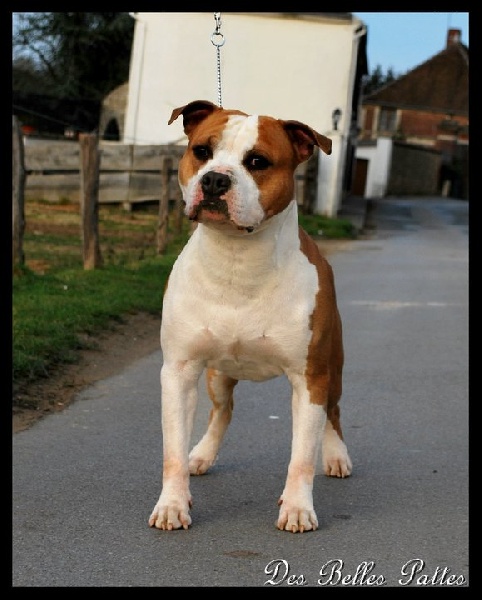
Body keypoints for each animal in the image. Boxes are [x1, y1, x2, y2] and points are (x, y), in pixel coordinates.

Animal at [149, 100, 352, 533]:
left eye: (257, 161)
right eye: (202, 151)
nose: (214, 181)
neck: (238, 260)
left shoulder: (310, 378)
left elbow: (301, 457)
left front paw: (297, 508)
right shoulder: (179, 371)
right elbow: (172, 450)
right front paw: (172, 504)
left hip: (333, 369)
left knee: (333, 413)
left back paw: (336, 454)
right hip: (217, 373)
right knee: (222, 410)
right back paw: (201, 454)